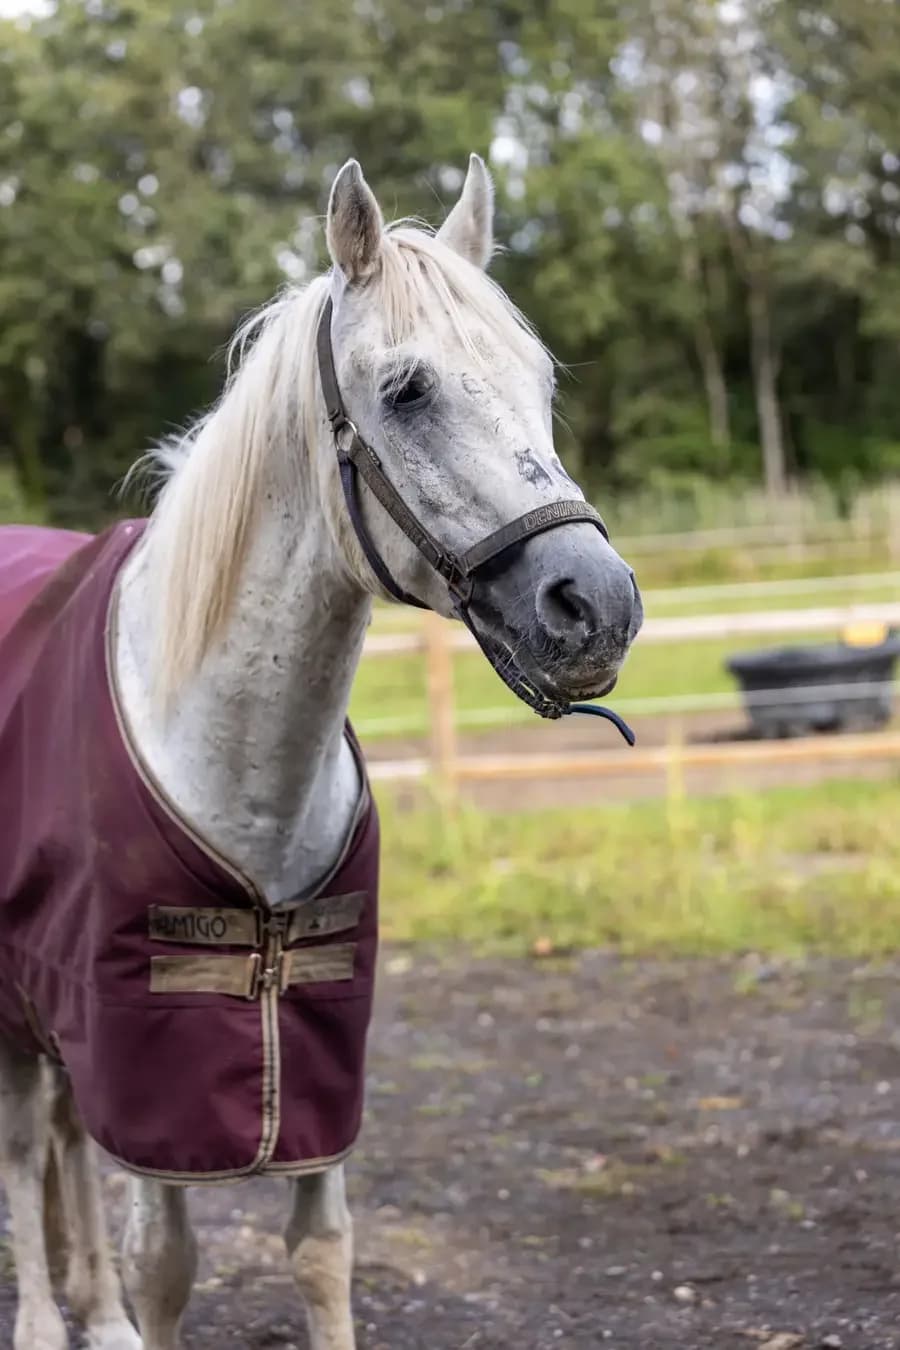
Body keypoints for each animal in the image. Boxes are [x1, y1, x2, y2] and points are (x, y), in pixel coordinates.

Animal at [0, 154, 643, 1350]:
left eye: (540, 382)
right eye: (407, 391)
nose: (598, 607)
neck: (241, 763)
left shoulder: (314, 1059)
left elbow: (322, 1253)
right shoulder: (144, 1064)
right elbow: (167, 1262)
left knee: (59, 1139)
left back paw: (91, 1312)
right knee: (27, 1147)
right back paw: (51, 1321)